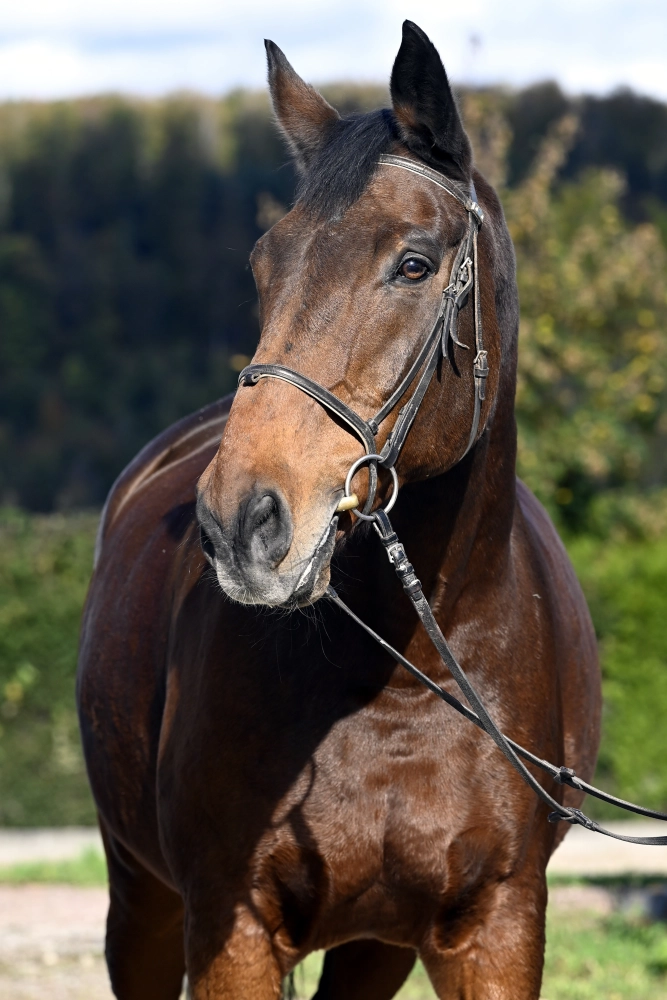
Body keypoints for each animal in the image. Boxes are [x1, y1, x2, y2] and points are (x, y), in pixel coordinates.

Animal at [77, 21, 600, 1000]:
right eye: (262, 265)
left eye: (413, 263)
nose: (240, 525)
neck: (399, 679)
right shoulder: (232, 929)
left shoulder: (497, 928)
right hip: (141, 901)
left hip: (373, 947)